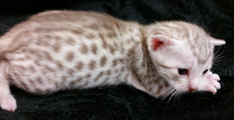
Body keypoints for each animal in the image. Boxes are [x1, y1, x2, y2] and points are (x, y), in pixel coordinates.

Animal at [0, 10, 225, 111]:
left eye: (204, 69)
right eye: (182, 71)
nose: (193, 87)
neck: (143, 37)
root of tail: (13, 35)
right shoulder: (147, 76)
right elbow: (167, 90)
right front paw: (207, 83)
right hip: (39, 78)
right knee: (4, 67)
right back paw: (6, 98)